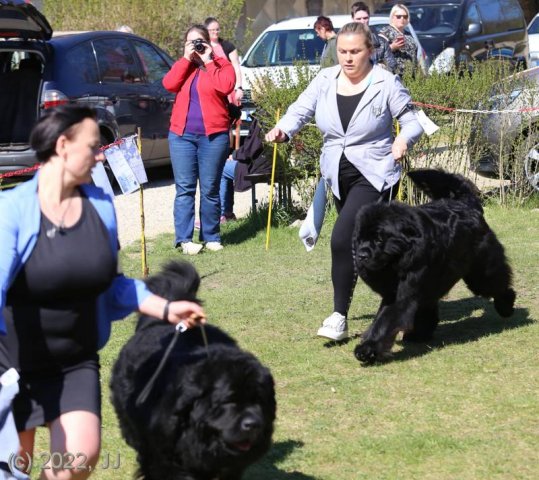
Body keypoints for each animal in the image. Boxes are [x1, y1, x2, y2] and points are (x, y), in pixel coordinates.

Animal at [352, 169, 516, 364]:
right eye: (360, 238)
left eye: (378, 239)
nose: (361, 255)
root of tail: (467, 204)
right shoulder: (396, 291)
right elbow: (383, 316)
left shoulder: (404, 292)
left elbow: (385, 321)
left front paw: (367, 349)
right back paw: (420, 334)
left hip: (481, 272)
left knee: (496, 283)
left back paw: (506, 306)